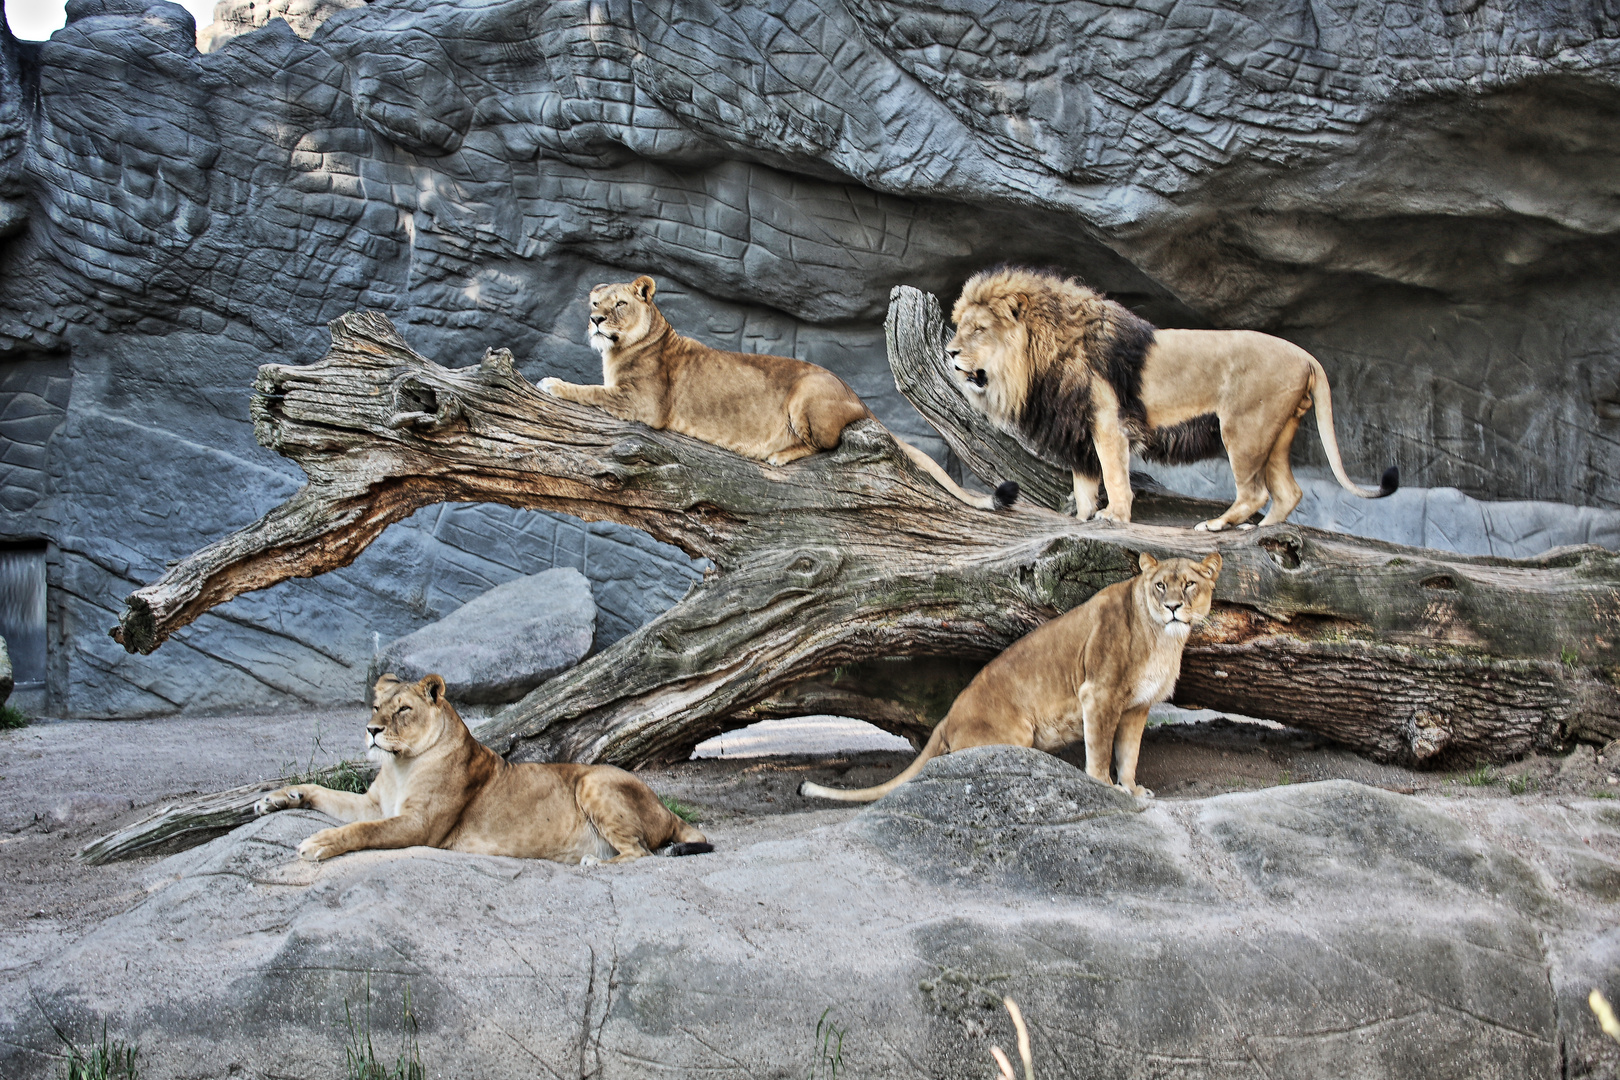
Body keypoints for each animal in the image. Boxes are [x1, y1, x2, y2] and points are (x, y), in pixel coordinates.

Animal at [254, 670, 709, 867]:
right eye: (375, 706)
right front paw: (277, 798)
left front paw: (317, 843)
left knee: (640, 853)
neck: (401, 764)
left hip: (595, 780)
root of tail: (666, 808)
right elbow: (326, 794)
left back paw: (593, 863)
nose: (371, 730)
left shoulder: (420, 826)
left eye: (403, 710)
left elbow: (362, 830)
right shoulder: (375, 804)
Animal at [946, 265, 1393, 527]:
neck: (1042, 355)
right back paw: (1263, 531)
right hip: (1277, 434)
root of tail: (1307, 357)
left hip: (1244, 429)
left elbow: (1114, 476)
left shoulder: (1106, 422)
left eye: (978, 330)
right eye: (960, 326)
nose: (949, 353)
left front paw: (1114, 517)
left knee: (1256, 492)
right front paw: (1085, 519)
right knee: (1288, 493)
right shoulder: (1077, 430)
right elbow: (1085, 484)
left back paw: (1217, 525)